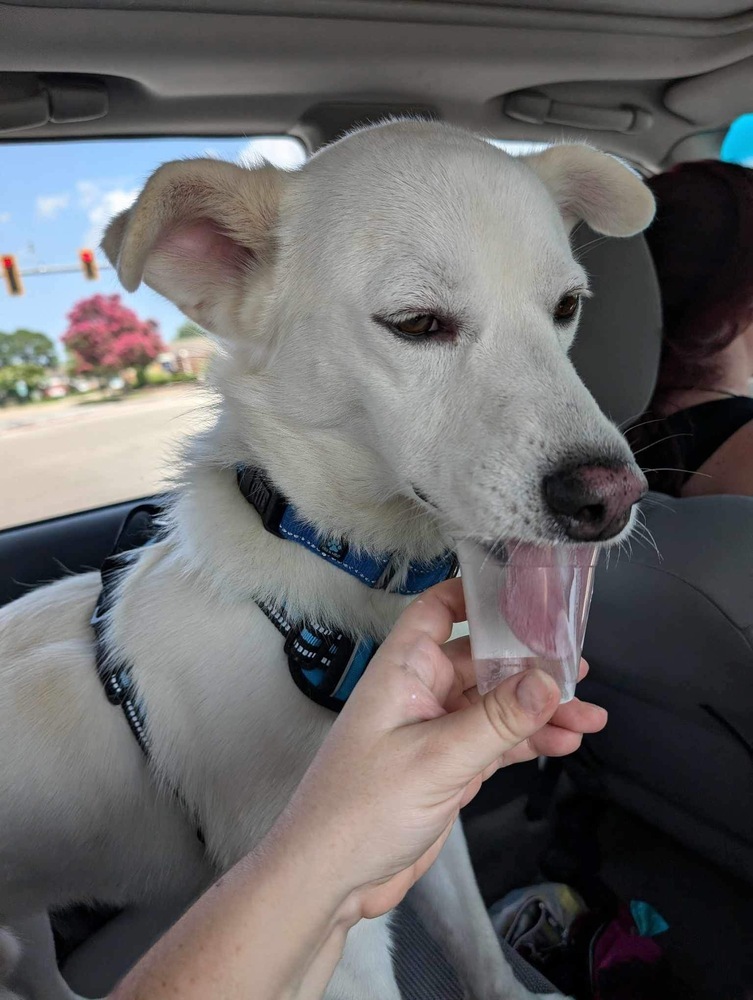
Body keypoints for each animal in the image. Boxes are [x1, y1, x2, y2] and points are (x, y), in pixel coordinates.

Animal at [0, 123, 652, 1000]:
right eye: (416, 323)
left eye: (566, 308)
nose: (609, 499)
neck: (328, 568)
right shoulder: (332, 909)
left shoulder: (415, 826)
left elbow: (478, 948)